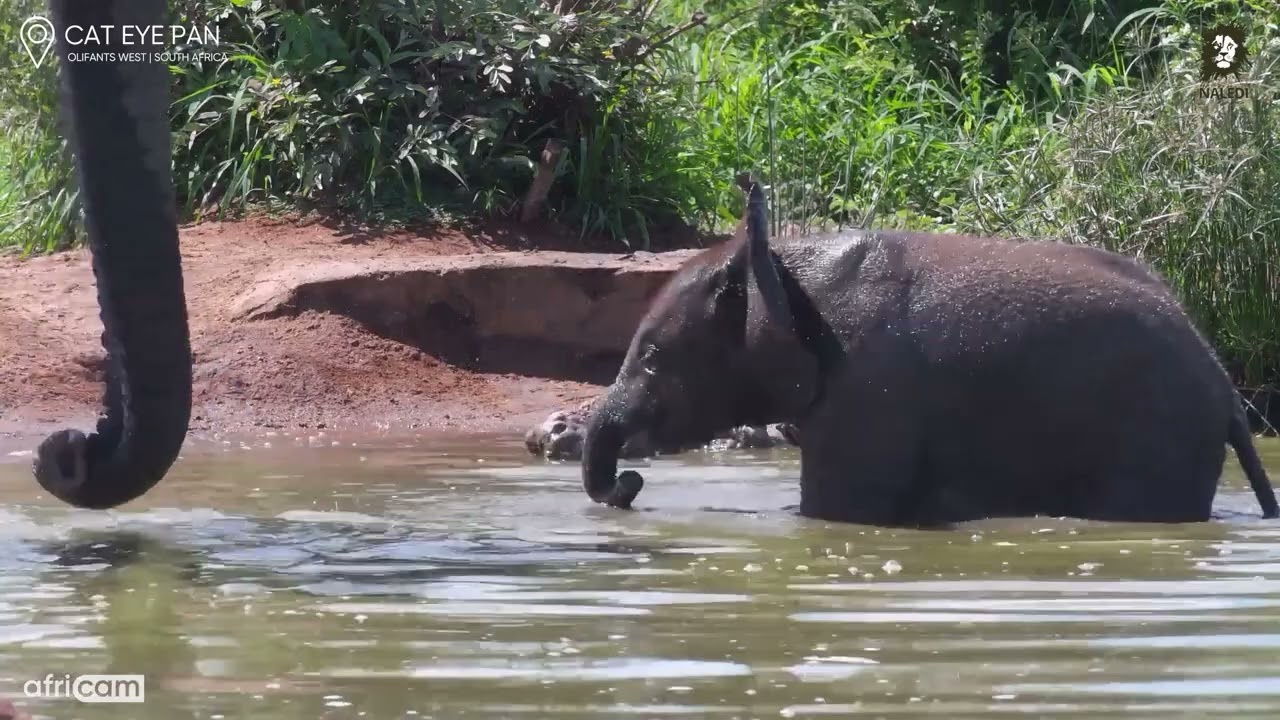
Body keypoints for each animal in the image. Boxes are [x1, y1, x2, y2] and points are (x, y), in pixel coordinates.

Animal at [580, 177, 1280, 526]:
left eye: (652, 357)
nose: (630, 484)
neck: (781, 265)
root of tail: (1225, 383)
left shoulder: (869, 391)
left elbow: (839, 512)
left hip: (1157, 430)